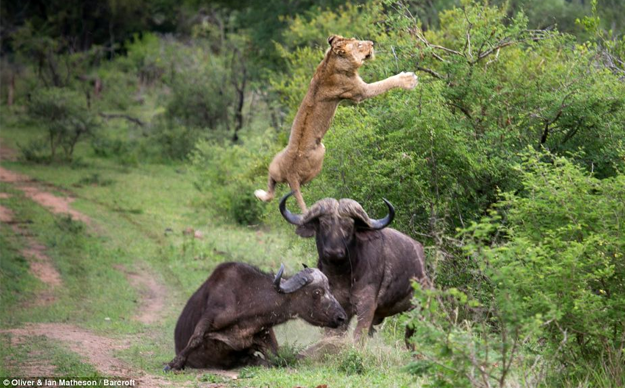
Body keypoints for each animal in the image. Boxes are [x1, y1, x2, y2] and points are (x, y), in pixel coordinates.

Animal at [166, 260, 346, 370]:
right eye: (317, 292)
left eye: (329, 289)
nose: (341, 317)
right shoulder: (210, 317)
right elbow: (195, 339)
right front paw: (174, 363)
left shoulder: (265, 336)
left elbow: (279, 358)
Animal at [280, 192, 428, 344]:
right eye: (324, 224)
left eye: (348, 227)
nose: (333, 252)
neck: (342, 275)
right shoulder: (338, 306)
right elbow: (332, 333)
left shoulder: (367, 305)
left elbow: (358, 335)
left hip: (417, 311)